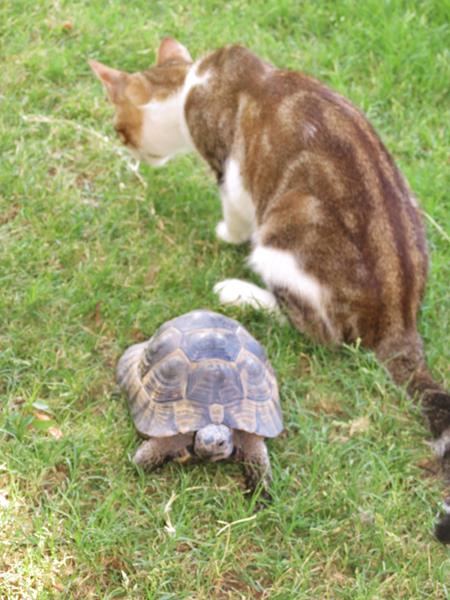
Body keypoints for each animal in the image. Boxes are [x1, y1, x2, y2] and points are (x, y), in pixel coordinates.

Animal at [89, 37, 450, 544]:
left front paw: (225, 234)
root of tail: (400, 316)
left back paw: (243, 292)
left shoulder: (230, 174)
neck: (191, 79)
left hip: (282, 242)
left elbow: (235, 212)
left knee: (318, 329)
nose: (132, 153)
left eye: (119, 129)